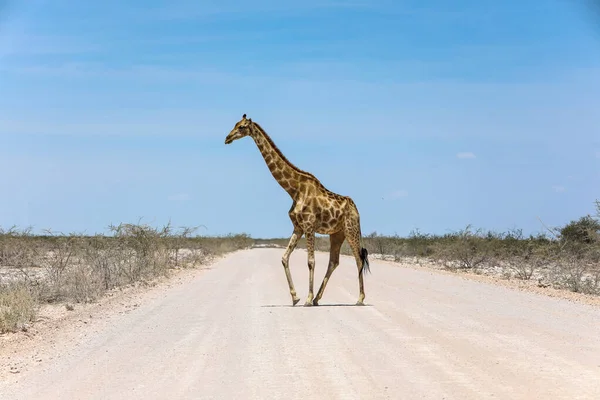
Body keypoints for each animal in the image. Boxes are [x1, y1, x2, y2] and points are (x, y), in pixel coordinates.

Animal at [224, 114, 370, 308]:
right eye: (235, 124)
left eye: (241, 127)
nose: (227, 138)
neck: (294, 190)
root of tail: (356, 209)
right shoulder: (298, 227)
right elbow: (284, 257)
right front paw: (296, 297)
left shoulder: (309, 226)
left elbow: (311, 261)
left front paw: (306, 299)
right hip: (336, 234)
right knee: (334, 261)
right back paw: (318, 299)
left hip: (351, 229)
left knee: (358, 258)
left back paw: (359, 298)